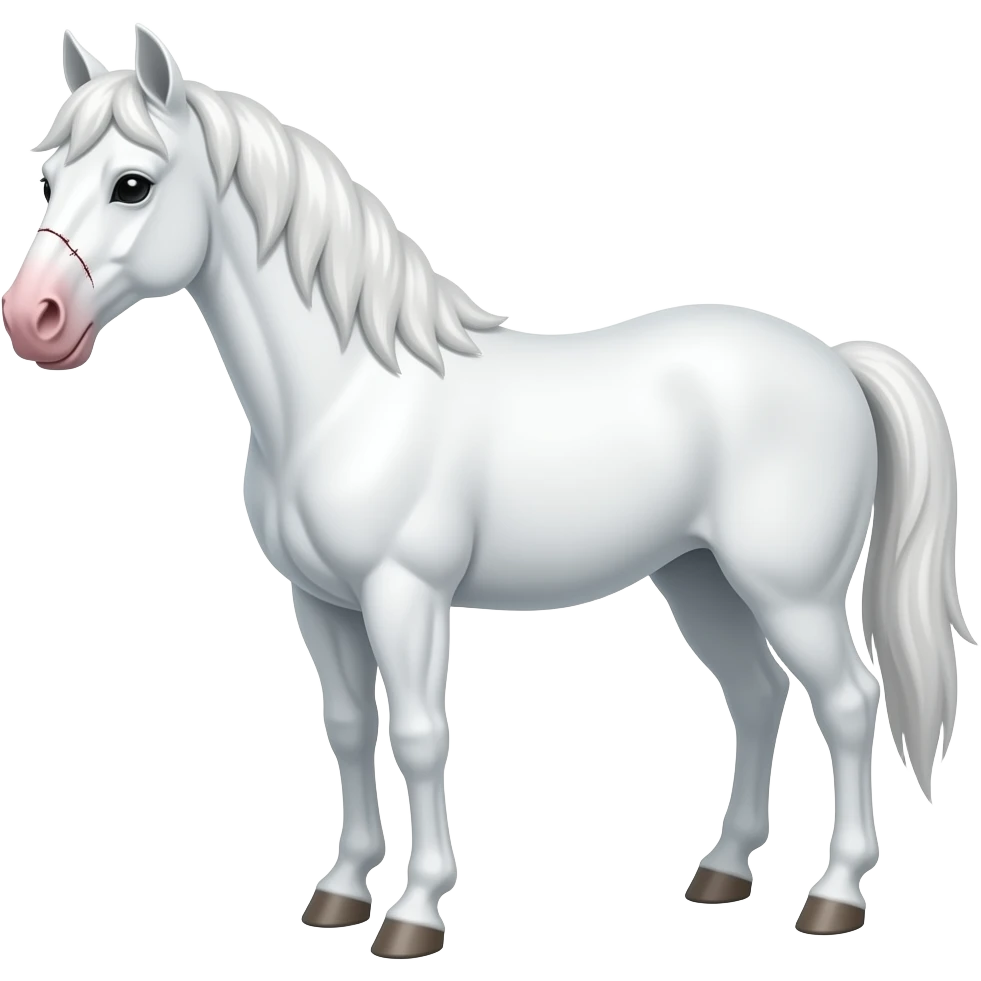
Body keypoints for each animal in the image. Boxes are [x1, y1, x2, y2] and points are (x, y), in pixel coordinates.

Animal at [3, 26, 974, 956]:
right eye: (49, 177)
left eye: (133, 185)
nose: (33, 320)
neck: (349, 394)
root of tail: (835, 359)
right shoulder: (321, 602)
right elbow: (349, 728)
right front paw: (341, 890)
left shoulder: (405, 595)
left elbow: (419, 735)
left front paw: (414, 913)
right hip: (700, 579)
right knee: (756, 693)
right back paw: (722, 872)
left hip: (789, 591)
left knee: (847, 703)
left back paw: (833, 896)